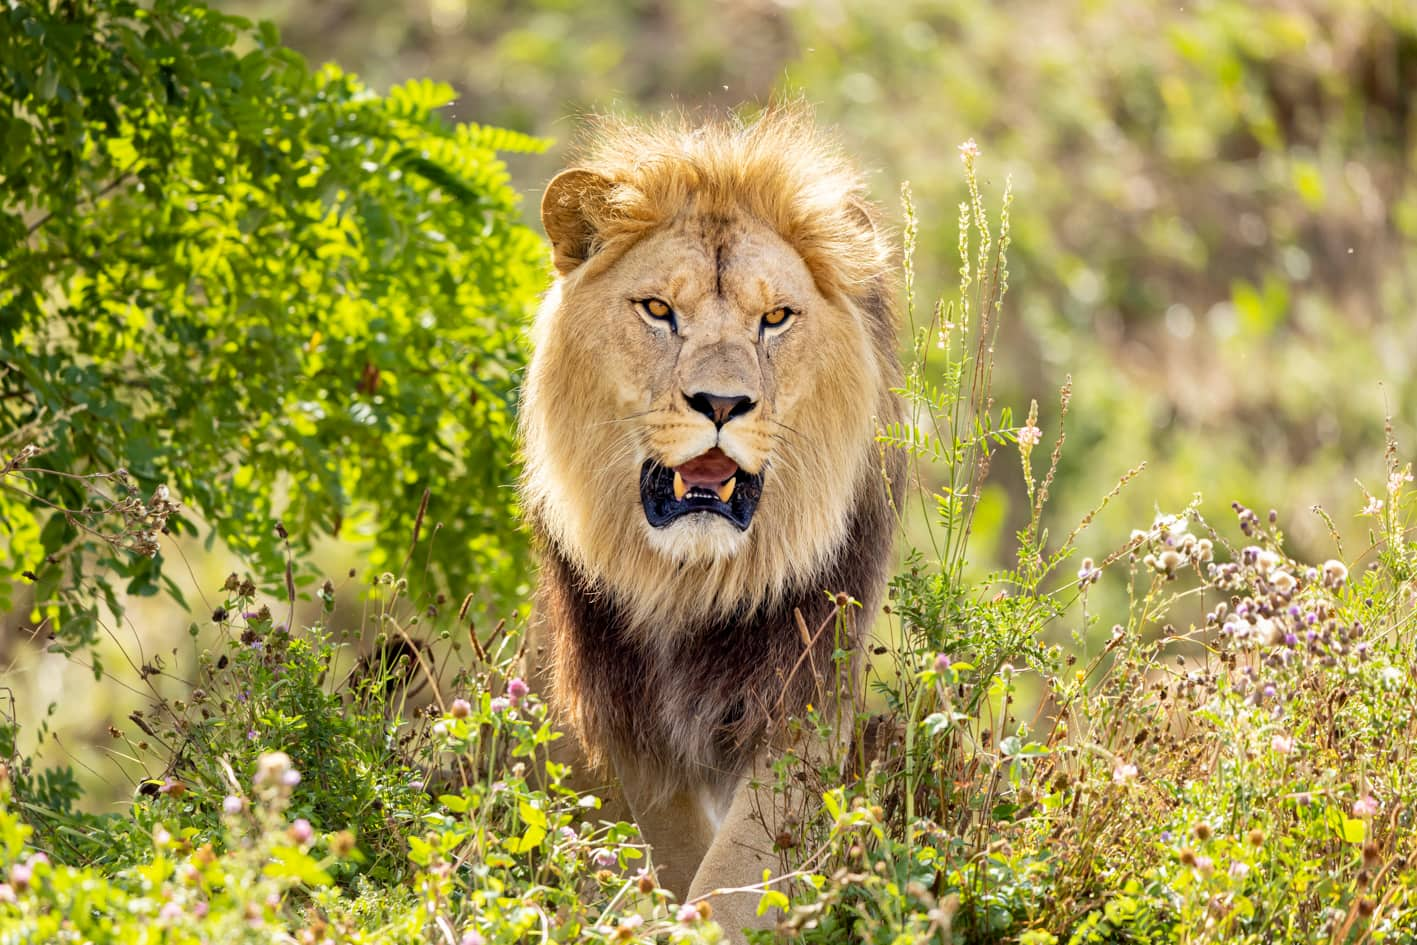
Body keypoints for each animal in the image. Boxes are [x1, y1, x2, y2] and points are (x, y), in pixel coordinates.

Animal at [515, 106, 901, 940]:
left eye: (775, 317)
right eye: (659, 310)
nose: (721, 403)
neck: (690, 579)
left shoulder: (804, 693)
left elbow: (737, 871)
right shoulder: (620, 709)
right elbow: (670, 844)